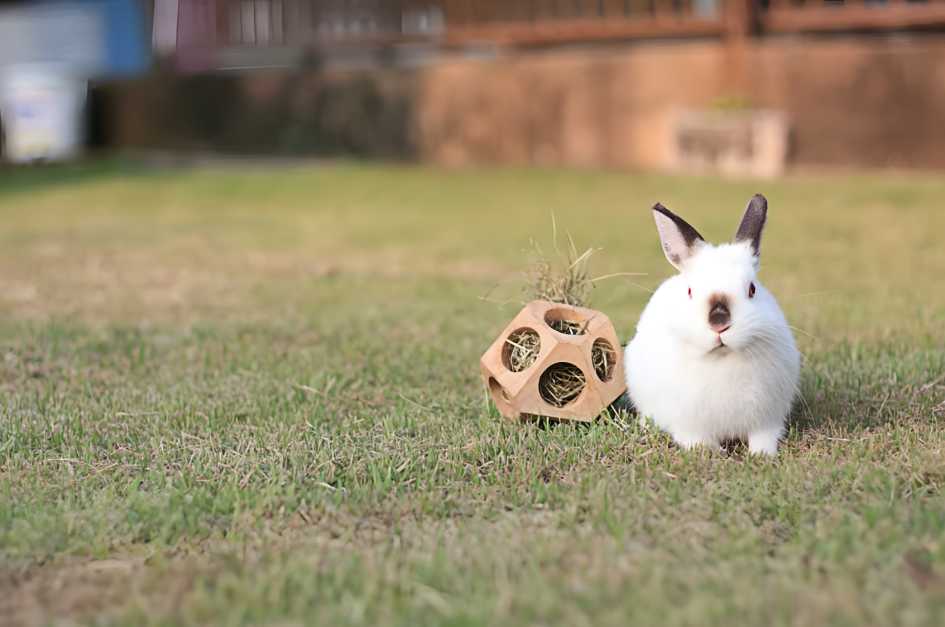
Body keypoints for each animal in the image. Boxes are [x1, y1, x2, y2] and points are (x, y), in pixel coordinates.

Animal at [628, 195, 796, 456]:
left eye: (752, 289)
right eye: (690, 291)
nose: (719, 323)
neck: (722, 359)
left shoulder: (767, 420)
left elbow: (763, 438)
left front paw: (761, 454)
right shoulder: (688, 424)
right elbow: (698, 440)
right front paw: (713, 452)